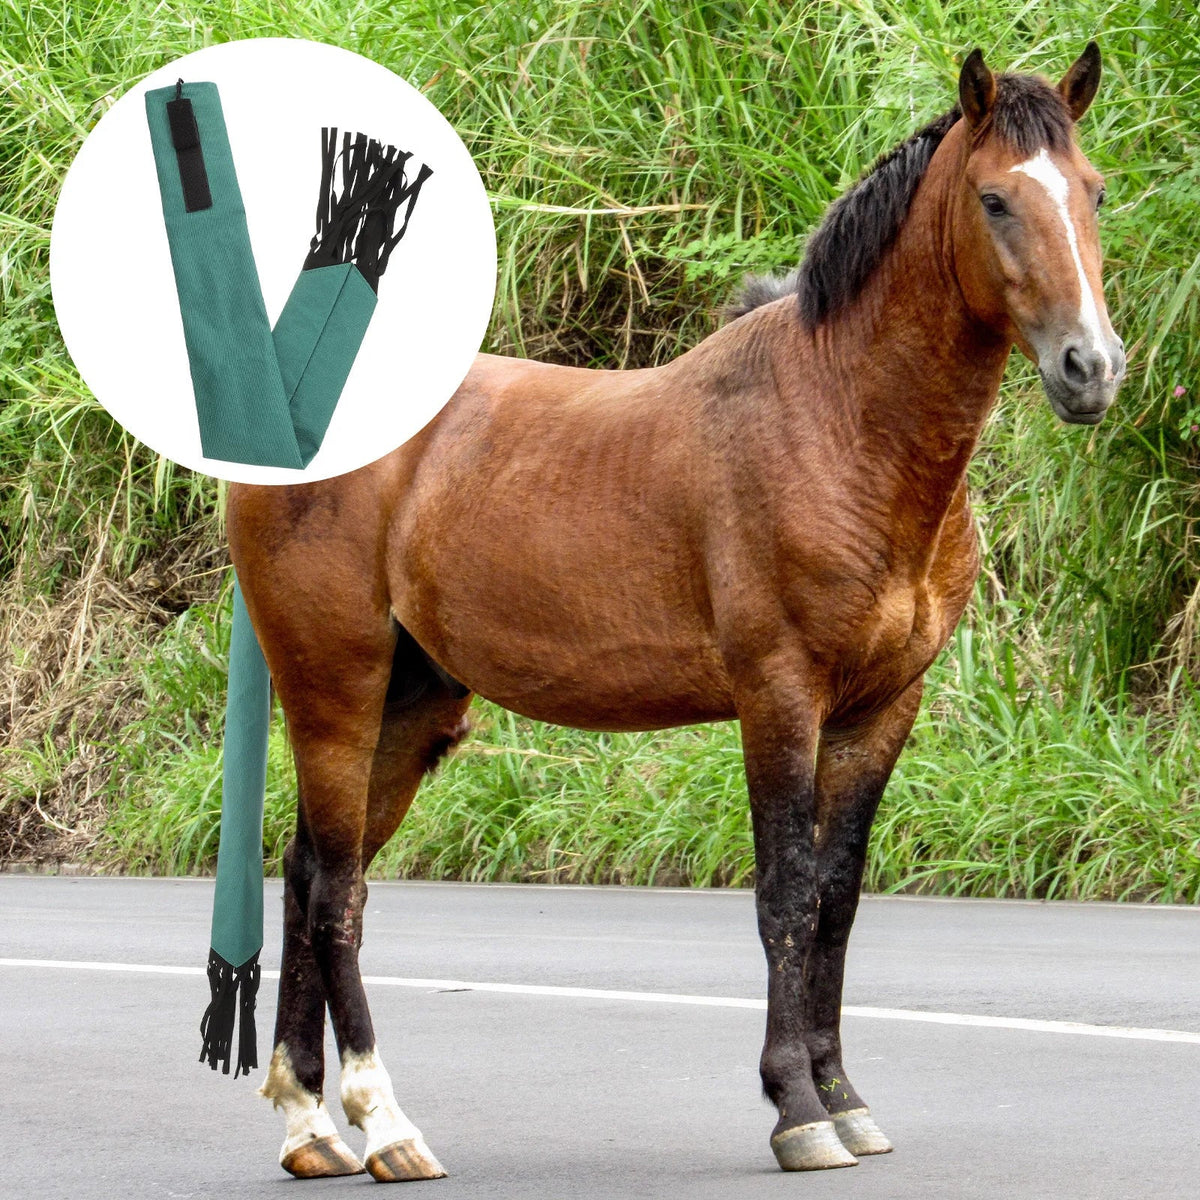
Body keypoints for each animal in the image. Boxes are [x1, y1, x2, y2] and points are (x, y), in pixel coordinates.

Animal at [227, 44, 1124, 1179]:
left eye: (1093, 191)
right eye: (995, 198)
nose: (1091, 368)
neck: (840, 422)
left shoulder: (883, 709)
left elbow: (836, 898)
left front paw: (845, 1098)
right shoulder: (780, 697)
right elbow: (785, 891)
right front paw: (797, 1110)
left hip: (410, 705)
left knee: (307, 876)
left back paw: (311, 1127)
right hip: (335, 692)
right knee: (338, 891)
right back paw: (385, 1123)